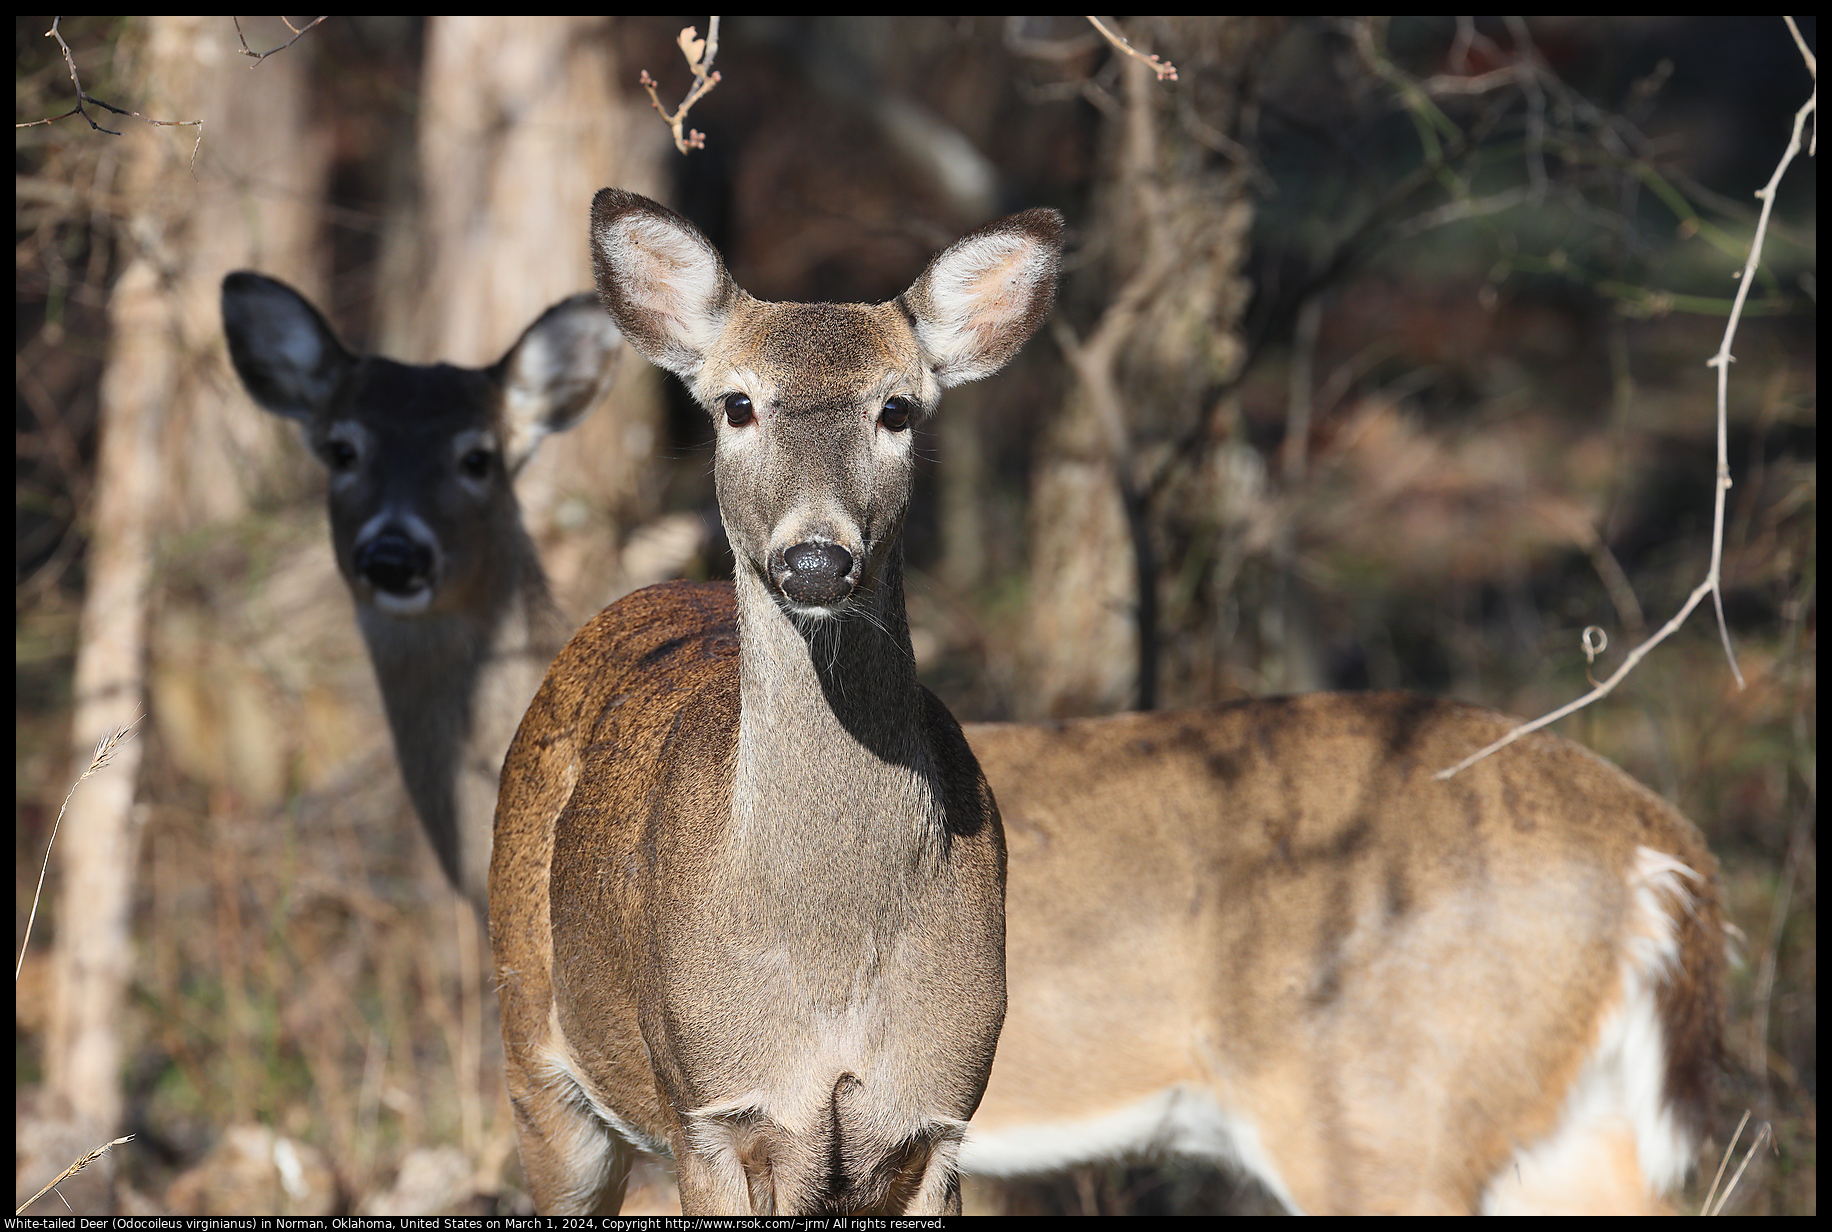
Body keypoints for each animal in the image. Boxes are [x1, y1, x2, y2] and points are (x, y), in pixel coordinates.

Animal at [487, 192, 1062, 1210]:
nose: (816, 560)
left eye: (897, 408)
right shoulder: (713, 1111)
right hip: (533, 1052)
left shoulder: (938, 1116)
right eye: (738, 403)